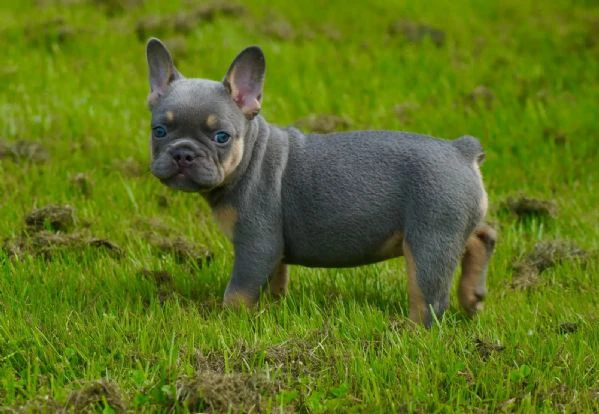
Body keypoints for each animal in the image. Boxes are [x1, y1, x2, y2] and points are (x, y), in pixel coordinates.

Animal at [144, 37, 496, 326]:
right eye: (159, 131)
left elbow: (238, 292)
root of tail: (461, 150)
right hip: (454, 224)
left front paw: (227, 321)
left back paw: (409, 331)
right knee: (483, 236)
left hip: (431, 238)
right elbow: (275, 280)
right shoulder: (273, 248)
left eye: (221, 137)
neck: (250, 157)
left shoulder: (256, 243)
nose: (183, 154)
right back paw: (472, 297)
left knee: (429, 299)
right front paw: (272, 310)